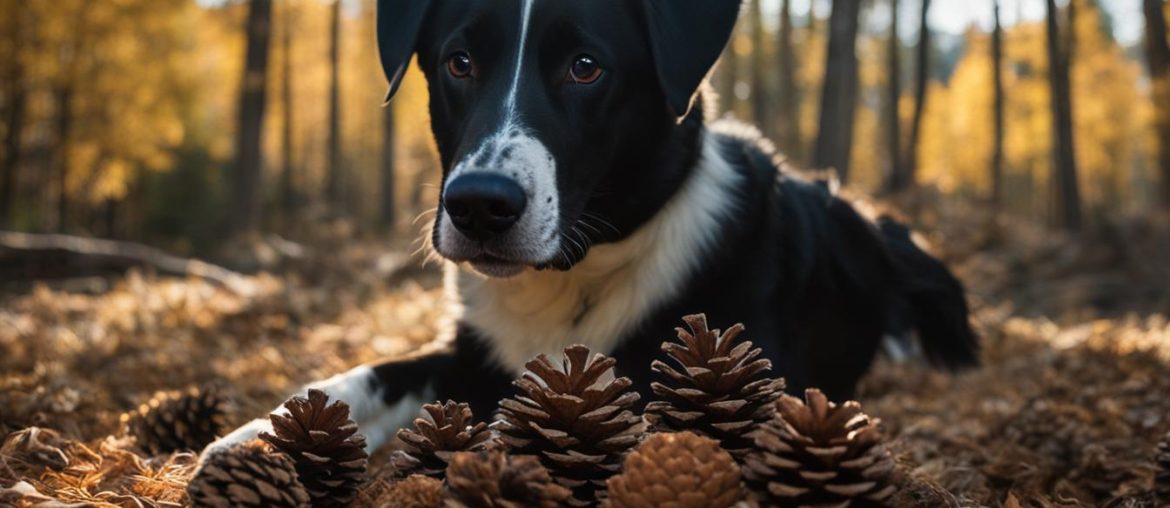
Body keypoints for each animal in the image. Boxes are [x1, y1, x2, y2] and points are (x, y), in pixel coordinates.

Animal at [203, 0, 978, 461]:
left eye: (585, 68)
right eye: (459, 62)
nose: (479, 206)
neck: (576, 272)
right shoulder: (469, 352)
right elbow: (376, 373)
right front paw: (259, 437)